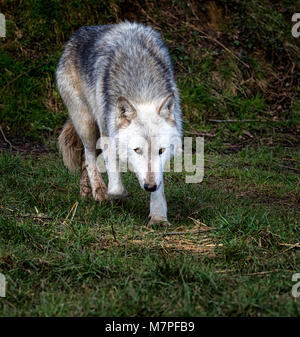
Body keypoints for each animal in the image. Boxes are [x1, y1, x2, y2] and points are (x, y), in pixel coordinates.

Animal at [56, 21, 183, 226]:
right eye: (137, 150)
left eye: (161, 151)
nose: (149, 186)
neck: (142, 87)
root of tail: (76, 35)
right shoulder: (108, 136)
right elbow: (115, 188)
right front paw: (119, 198)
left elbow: (160, 184)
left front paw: (158, 217)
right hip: (87, 125)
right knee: (89, 157)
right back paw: (99, 191)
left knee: (85, 161)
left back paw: (86, 191)